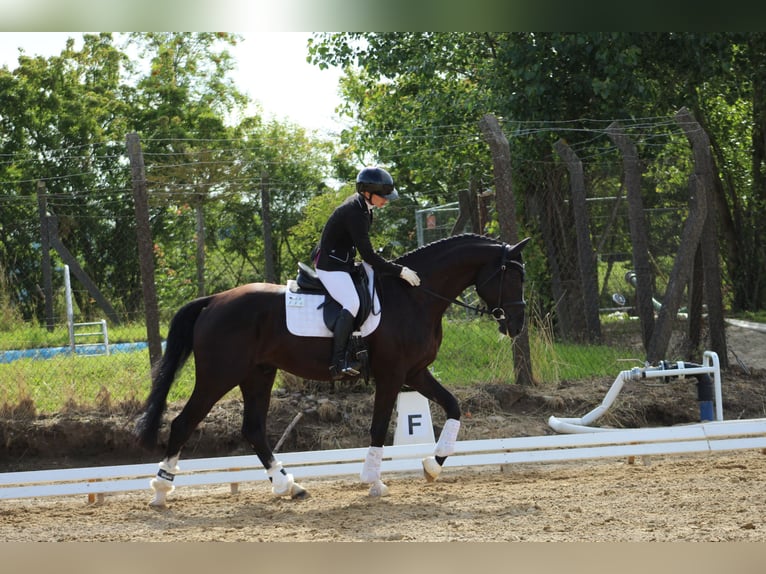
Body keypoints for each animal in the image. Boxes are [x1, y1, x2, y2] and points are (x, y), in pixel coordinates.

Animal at [135, 232, 532, 506]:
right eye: (512, 278)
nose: (516, 325)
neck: (416, 297)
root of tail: (213, 300)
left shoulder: (415, 373)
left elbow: (453, 407)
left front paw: (432, 466)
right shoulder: (392, 375)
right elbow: (378, 427)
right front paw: (373, 480)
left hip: (258, 374)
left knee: (254, 429)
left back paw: (288, 485)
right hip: (219, 375)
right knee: (183, 423)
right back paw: (161, 490)